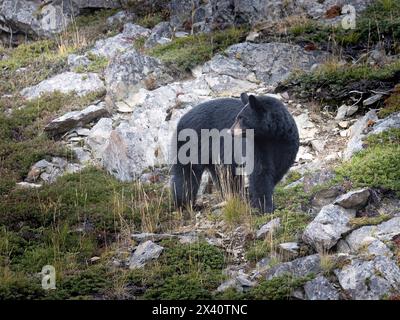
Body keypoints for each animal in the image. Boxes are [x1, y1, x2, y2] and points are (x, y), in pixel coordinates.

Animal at [170, 92, 298, 212]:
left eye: (242, 118)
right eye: (237, 117)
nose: (229, 132)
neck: (271, 136)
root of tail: (181, 120)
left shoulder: (287, 144)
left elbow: (279, 168)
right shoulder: (256, 146)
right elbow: (260, 171)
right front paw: (265, 207)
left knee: (224, 175)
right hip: (192, 145)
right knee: (187, 175)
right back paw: (185, 203)